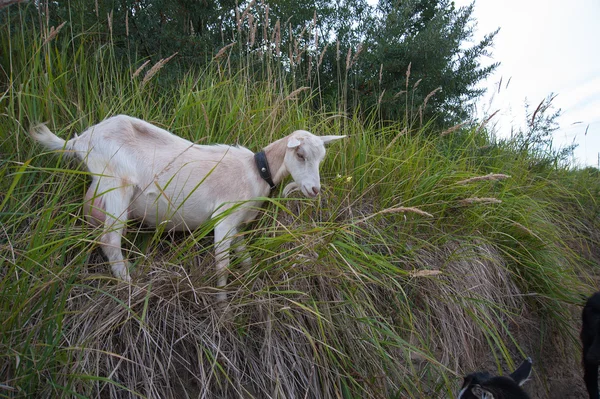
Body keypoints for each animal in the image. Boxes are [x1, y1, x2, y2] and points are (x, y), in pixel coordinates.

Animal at [30, 114, 344, 298]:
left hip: (98, 191)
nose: (314, 190)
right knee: (109, 240)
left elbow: (245, 259)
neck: (256, 171)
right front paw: (223, 309)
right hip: (117, 186)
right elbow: (222, 266)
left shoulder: (236, 225)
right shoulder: (224, 219)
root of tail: (80, 140)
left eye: (322, 158)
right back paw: (131, 289)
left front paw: (253, 286)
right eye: (300, 154)